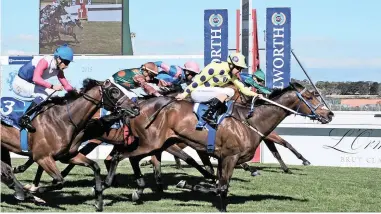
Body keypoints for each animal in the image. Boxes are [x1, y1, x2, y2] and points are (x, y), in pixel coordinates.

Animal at [1, 78, 138, 211]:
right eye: (114, 91)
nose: (135, 108)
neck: (62, 120)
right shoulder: (42, 157)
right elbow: (60, 182)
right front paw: (35, 190)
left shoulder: (68, 156)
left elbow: (95, 166)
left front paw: (98, 201)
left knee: (7, 170)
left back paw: (22, 192)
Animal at [98, 81, 332, 211]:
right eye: (310, 96)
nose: (329, 114)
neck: (250, 121)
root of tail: (138, 106)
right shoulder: (230, 157)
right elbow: (221, 186)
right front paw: (189, 185)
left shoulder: (222, 158)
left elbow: (217, 183)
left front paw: (190, 185)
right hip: (150, 142)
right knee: (120, 156)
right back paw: (106, 185)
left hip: (157, 144)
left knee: (131, 158)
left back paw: (138, 189)